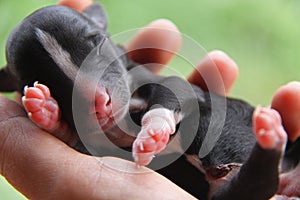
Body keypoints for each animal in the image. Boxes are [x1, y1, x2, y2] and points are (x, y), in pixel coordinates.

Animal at [0, 1, 298, 200]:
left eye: (97, 41)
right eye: (39, 79)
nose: (100, 103)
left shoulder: (174, 85)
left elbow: (169, 94)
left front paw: (152, 133)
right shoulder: (92, 146)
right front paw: (44, 108)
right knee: (256, 183)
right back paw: (270, 134)